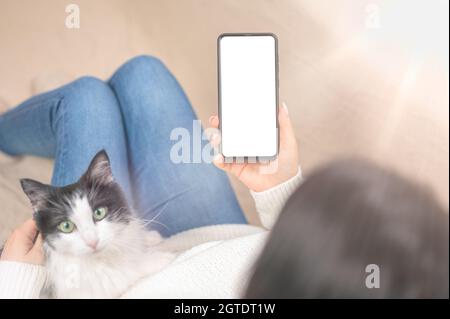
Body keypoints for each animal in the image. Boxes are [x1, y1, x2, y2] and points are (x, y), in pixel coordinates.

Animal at [20, 150, 174, 300]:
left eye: (99, 212)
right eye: (66, 226)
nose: (92, 242)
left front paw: (146, 237)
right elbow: (122, 274)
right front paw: (158, 258)